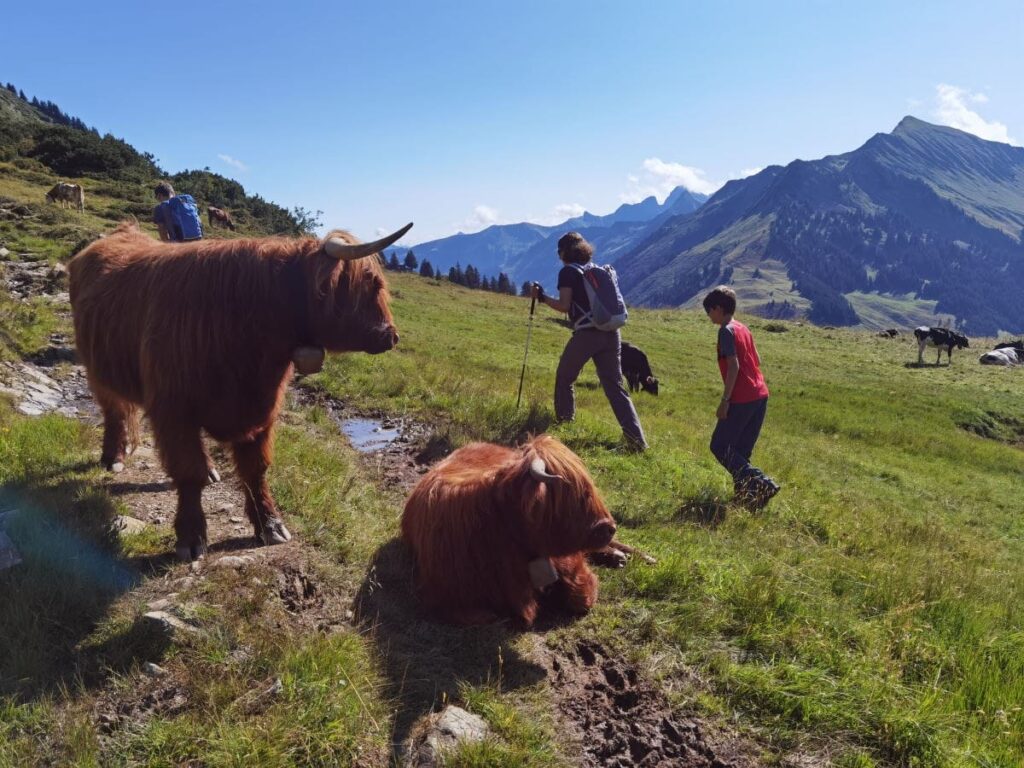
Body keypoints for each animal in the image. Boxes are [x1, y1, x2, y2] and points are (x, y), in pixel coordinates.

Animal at [68, 219, 413, 561]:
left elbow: (255, 469)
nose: (392, 336)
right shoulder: (173, 411)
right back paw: (112, 457)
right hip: (96, 369)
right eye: (371, 285)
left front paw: (270, 524)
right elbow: (188, 471)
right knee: (114, 412)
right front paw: (191, 536)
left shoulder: (262, 409)